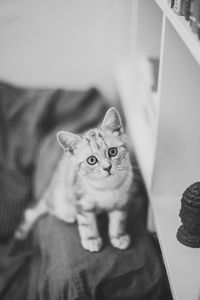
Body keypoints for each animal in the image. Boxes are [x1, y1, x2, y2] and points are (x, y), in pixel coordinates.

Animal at [15, 106, 134, 252]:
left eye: (113, 151)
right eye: (92, 160)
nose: (107, 167)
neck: (107, 187)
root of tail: (50, 190)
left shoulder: (122, 200)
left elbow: (119, 219)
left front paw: (118, 236)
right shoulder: (81, 200)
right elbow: (86, 221)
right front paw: (91, 239)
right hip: (60, 194)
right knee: (40, 210)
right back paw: (68, 215)